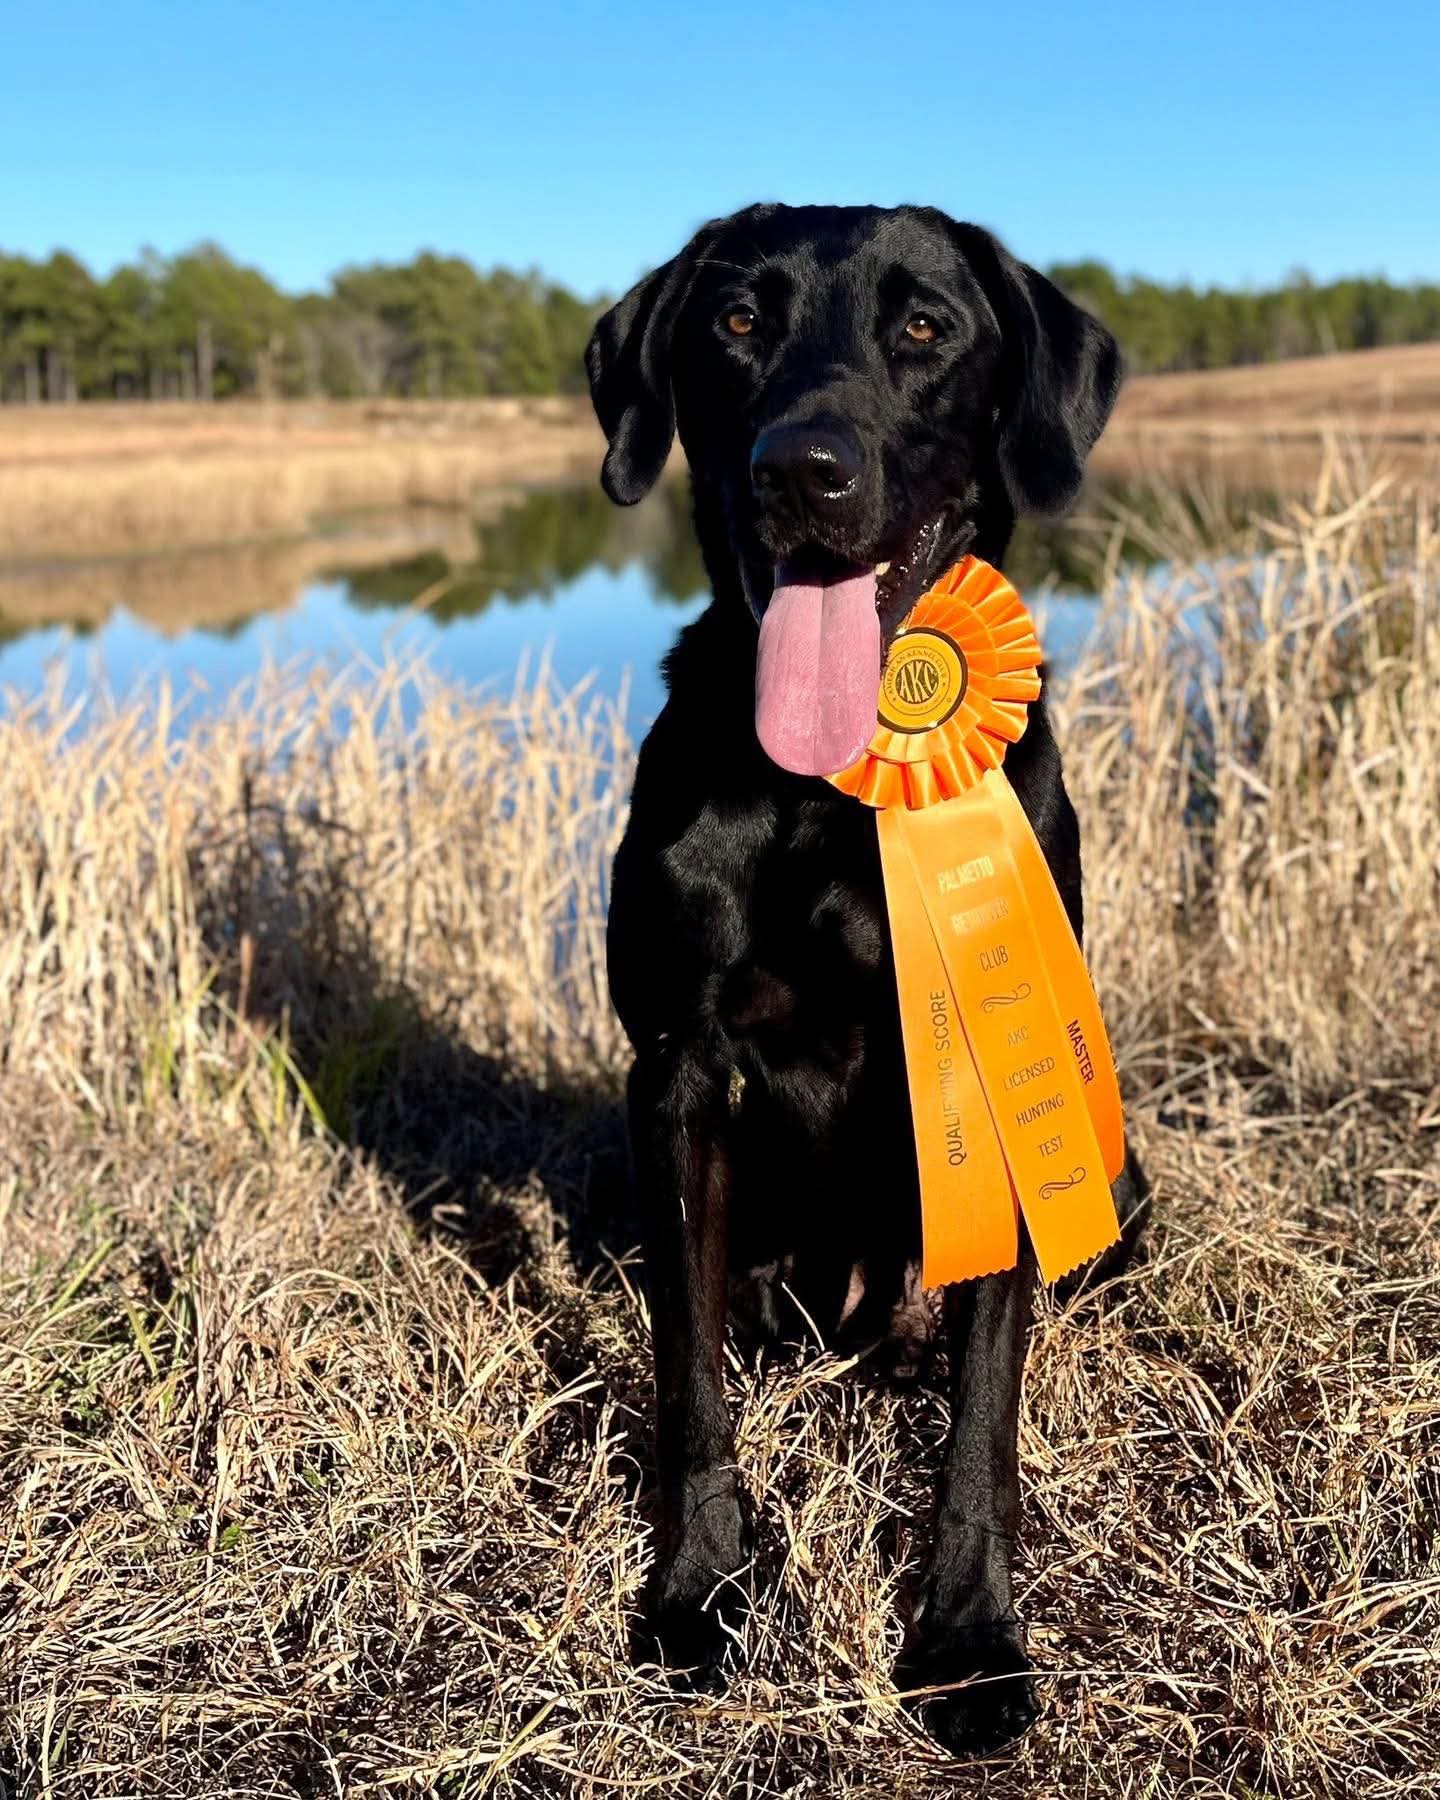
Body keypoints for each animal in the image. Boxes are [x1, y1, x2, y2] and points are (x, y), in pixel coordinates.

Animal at [586, 202, 1148, 1757]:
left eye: (924, 328)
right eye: (735, 323)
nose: (802, 469)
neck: (827, 792)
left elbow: (982, 1420)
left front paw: (967, 1640)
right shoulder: (676, 1073)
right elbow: (689, 1382)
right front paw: (699, 1591)